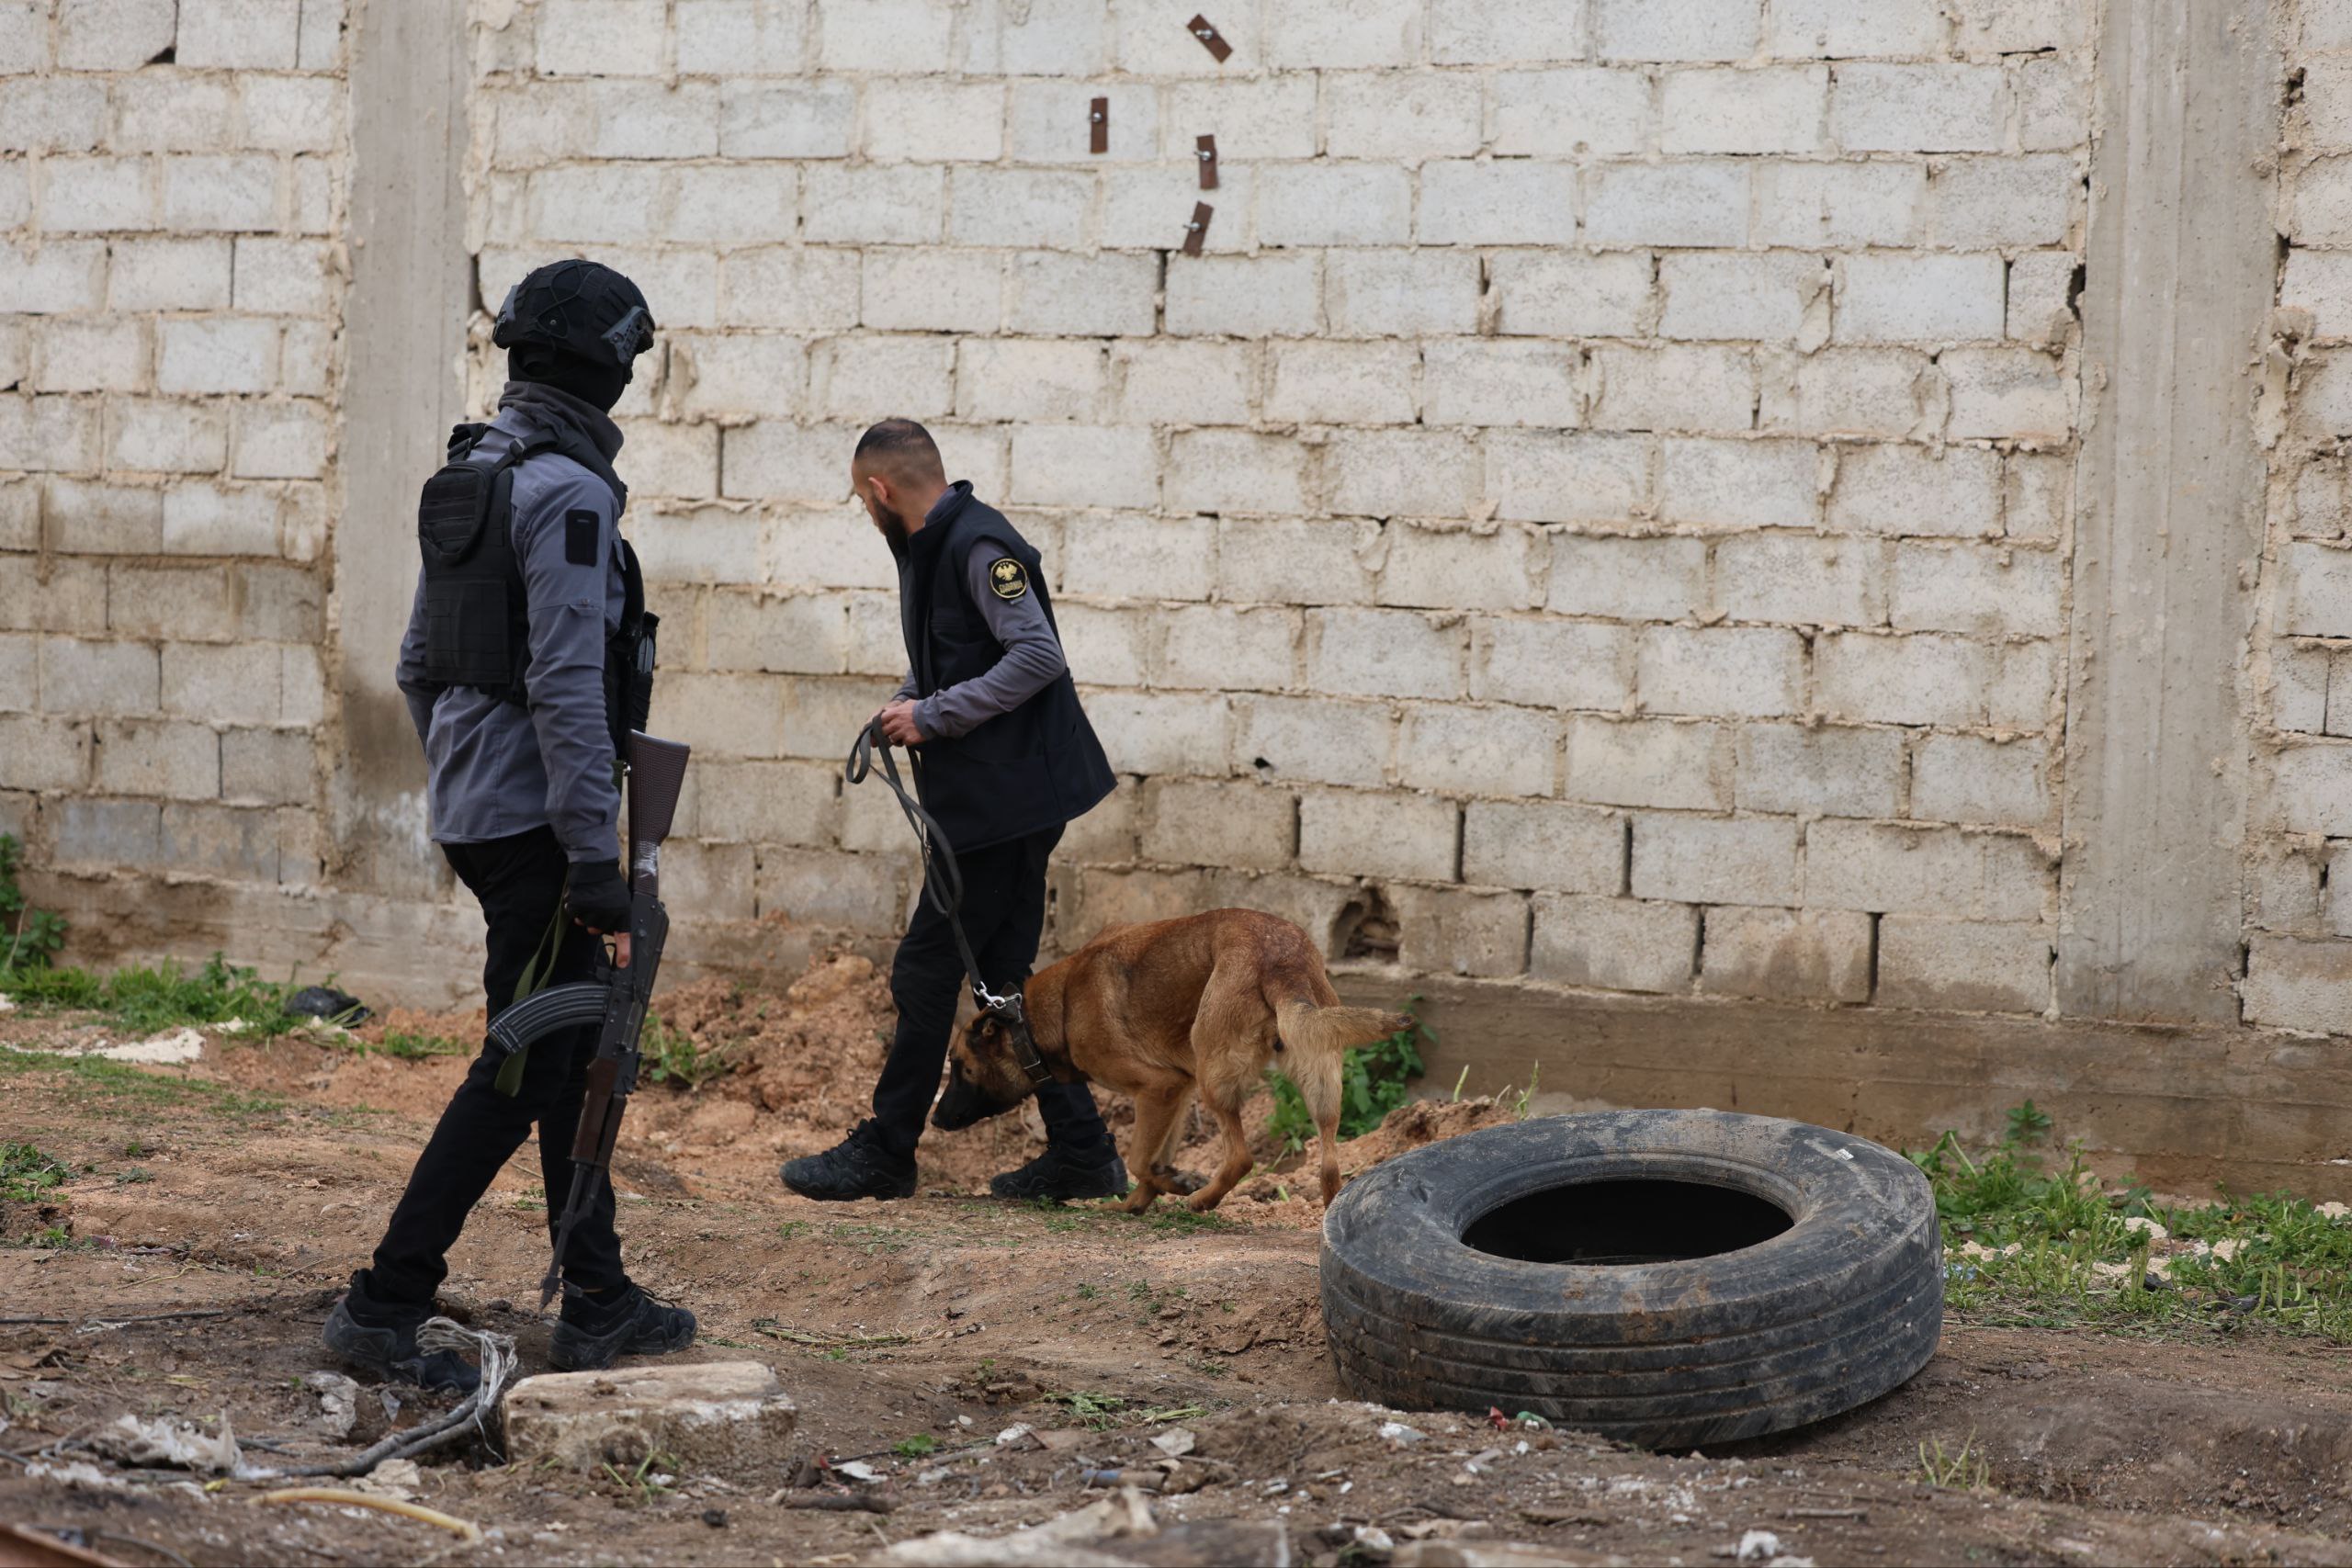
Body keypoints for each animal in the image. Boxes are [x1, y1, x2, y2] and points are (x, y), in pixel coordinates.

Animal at [930, 908, 1411, 1213]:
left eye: (960, 1067)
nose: (934, 1120)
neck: (1043, 1016)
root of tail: (1280, 959)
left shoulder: (1158, 1087)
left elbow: (1141, 1160)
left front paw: (1176, 1185)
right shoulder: (1175, 1090)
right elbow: (1152, 1156)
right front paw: (1137, 1202)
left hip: (1213, 1075)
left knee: (1241, 1158)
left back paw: (1201, 1200)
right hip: (1318, 1077)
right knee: (1329, 1165)